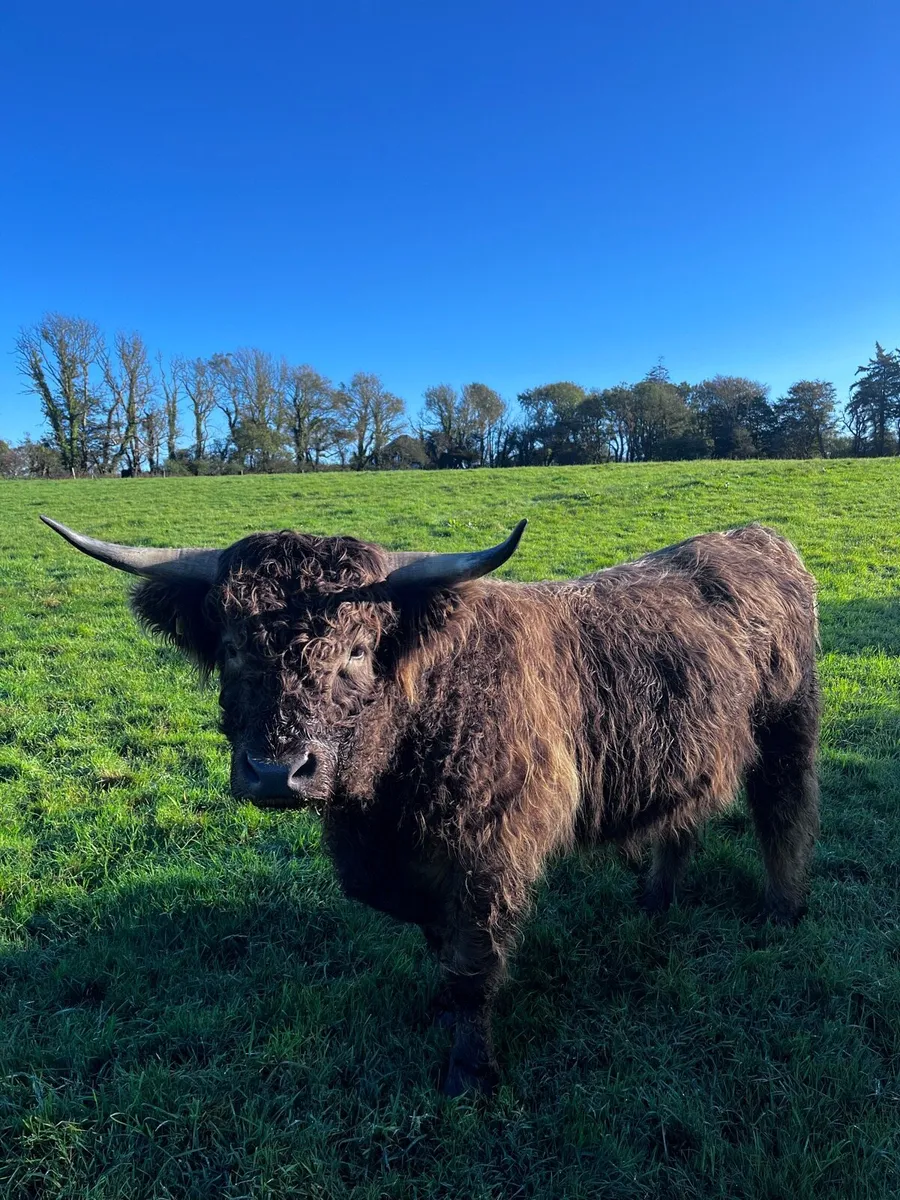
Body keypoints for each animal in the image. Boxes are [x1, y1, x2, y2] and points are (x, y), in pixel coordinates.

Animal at [41, 514, 820, 1095]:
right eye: (231, 648)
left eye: (357, 652)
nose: (276, 772)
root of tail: (756, 536)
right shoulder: (388, 862)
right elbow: (431, 935)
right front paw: (441, 1010)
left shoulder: (491, 855)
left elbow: (473, 963)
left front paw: (469, 1072)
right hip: (687, 754)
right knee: (681, 822)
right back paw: (656, 902)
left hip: (788, 727)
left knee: (784, 814)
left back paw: (782, 912)